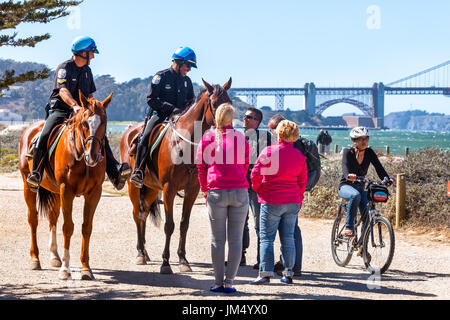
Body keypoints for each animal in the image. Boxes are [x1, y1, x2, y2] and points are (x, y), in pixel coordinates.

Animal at [18, 92, 114, 280]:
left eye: (104, 122)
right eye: (84, 123)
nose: (92, 155)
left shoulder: (94, 193)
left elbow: (86, 227)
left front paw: (85, 268)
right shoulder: (67, 190)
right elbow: (68, 227)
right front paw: (65, 269)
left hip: (55, 192)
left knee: (52, 218)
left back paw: (55, 257)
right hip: (28, 185)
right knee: (33, 219)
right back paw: (35, 259)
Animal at [120, 77, 232, 272]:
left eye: (229, 102)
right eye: (214, 103)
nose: (228, 126)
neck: (185, 143)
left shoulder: (192, 190)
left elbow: (183, 224)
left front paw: (182, 260)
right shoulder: (169, 190)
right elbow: (169, 225)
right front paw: (165, 262)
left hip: (150, 189)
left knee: (143, 214)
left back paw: (145, 253)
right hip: (134, 186)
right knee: (137, 215)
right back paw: (140, 253)